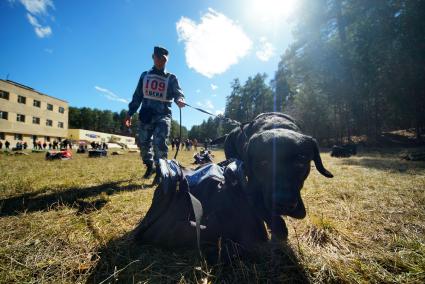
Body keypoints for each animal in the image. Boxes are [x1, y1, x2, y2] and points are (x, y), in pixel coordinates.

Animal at [224, 112, 332, 241]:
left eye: (300, 161)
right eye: (263, 162)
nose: (284, 203)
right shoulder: (252, 192)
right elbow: (263, 209)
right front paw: (279, 228)